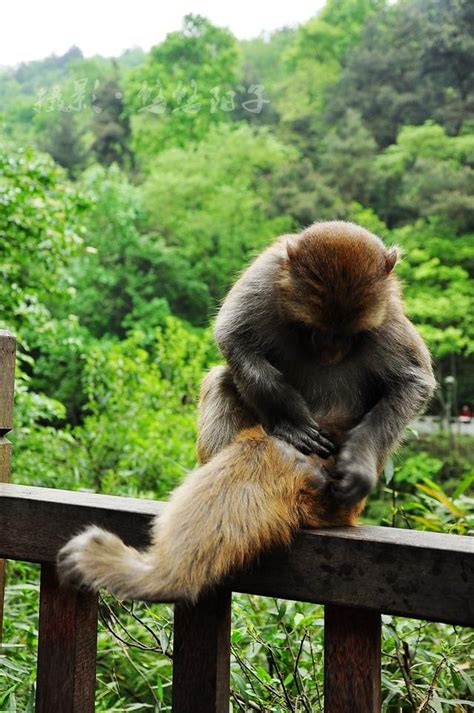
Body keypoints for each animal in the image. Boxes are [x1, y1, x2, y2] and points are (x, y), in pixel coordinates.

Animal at [57, 221, 436, 600]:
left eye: (350, 334)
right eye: (312, 328)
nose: (329, 351)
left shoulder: (388, 309)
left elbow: (413, 381)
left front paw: (359, 464)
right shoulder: (265, 278)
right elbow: (234, 336)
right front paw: (291, 417)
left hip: (325, 486)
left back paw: (155, 577)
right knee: (224, 380)